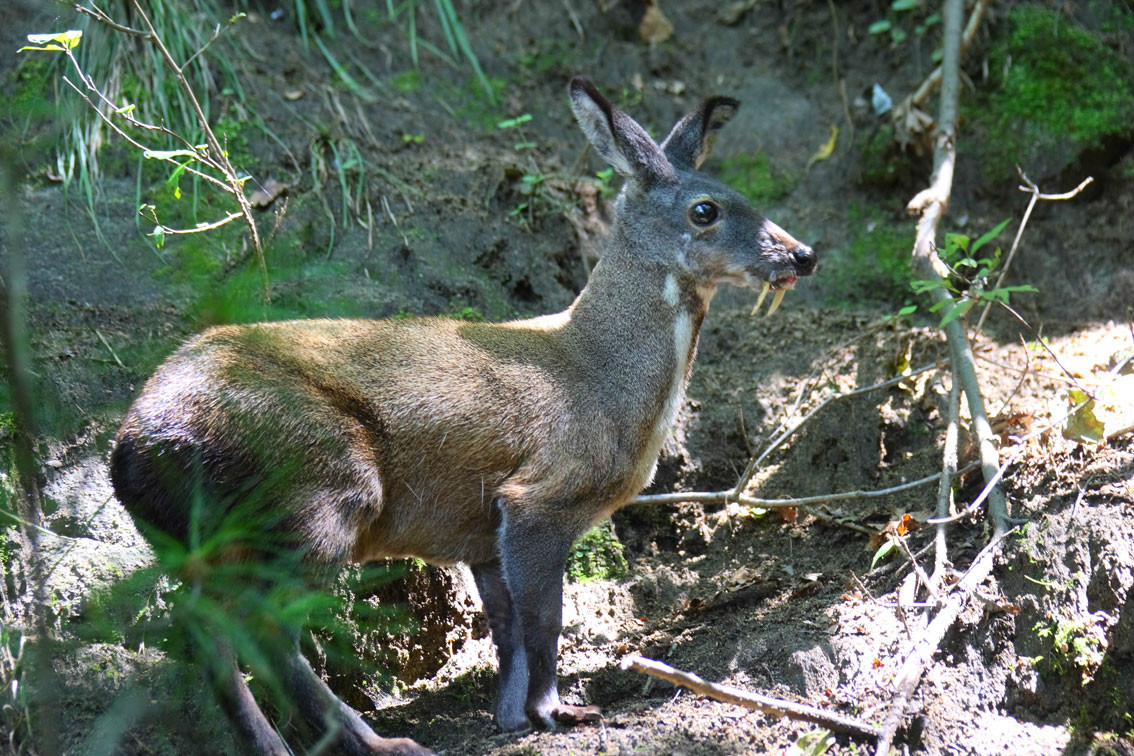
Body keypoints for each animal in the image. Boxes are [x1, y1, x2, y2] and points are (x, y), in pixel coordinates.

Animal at [108, 78, 816, 756]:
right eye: (706, 209)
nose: (803, 254)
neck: (603, 383)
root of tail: (132, 448)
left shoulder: (480, 530)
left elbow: (507, 627)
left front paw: (511, 717)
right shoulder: (541, 495)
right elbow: (545, 618)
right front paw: (557, 711)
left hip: (203, 539)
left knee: (207, 633)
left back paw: (274, 744)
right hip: (315, 487)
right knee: (265, 627)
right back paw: (381, 742)